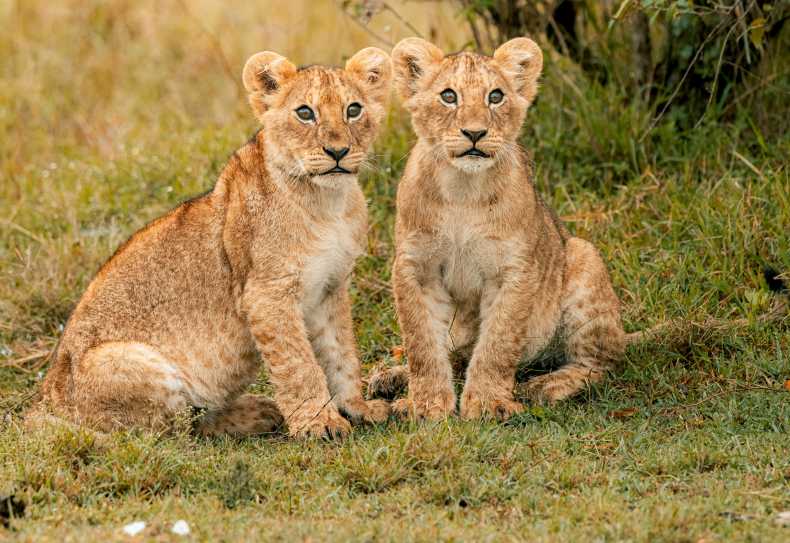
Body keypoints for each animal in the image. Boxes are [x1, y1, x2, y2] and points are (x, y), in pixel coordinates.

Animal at [33, 47, 393, 439]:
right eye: (304, 112)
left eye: (353, 109)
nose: (338, 151)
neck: (328, 203)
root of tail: (45, 402)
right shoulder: (266, 295)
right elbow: (298, 364)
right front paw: (319, 423)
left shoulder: (330, 287)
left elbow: (341, 354)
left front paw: (356, 408)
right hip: (132, 364)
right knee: (171, 429)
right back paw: (258, 414)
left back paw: (263, 412)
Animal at [372, 37, 626, 421]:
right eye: (449, 96)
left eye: (495, 96)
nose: (475, 132)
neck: (462, 190)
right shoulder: (415, 268)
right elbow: (421, 344)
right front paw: (425, 405)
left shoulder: (514, 269)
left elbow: (498, 341)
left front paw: (488, 403)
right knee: (453, 356)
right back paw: (387, 379)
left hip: (584, 256)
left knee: (600, 363)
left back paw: (542, 387)